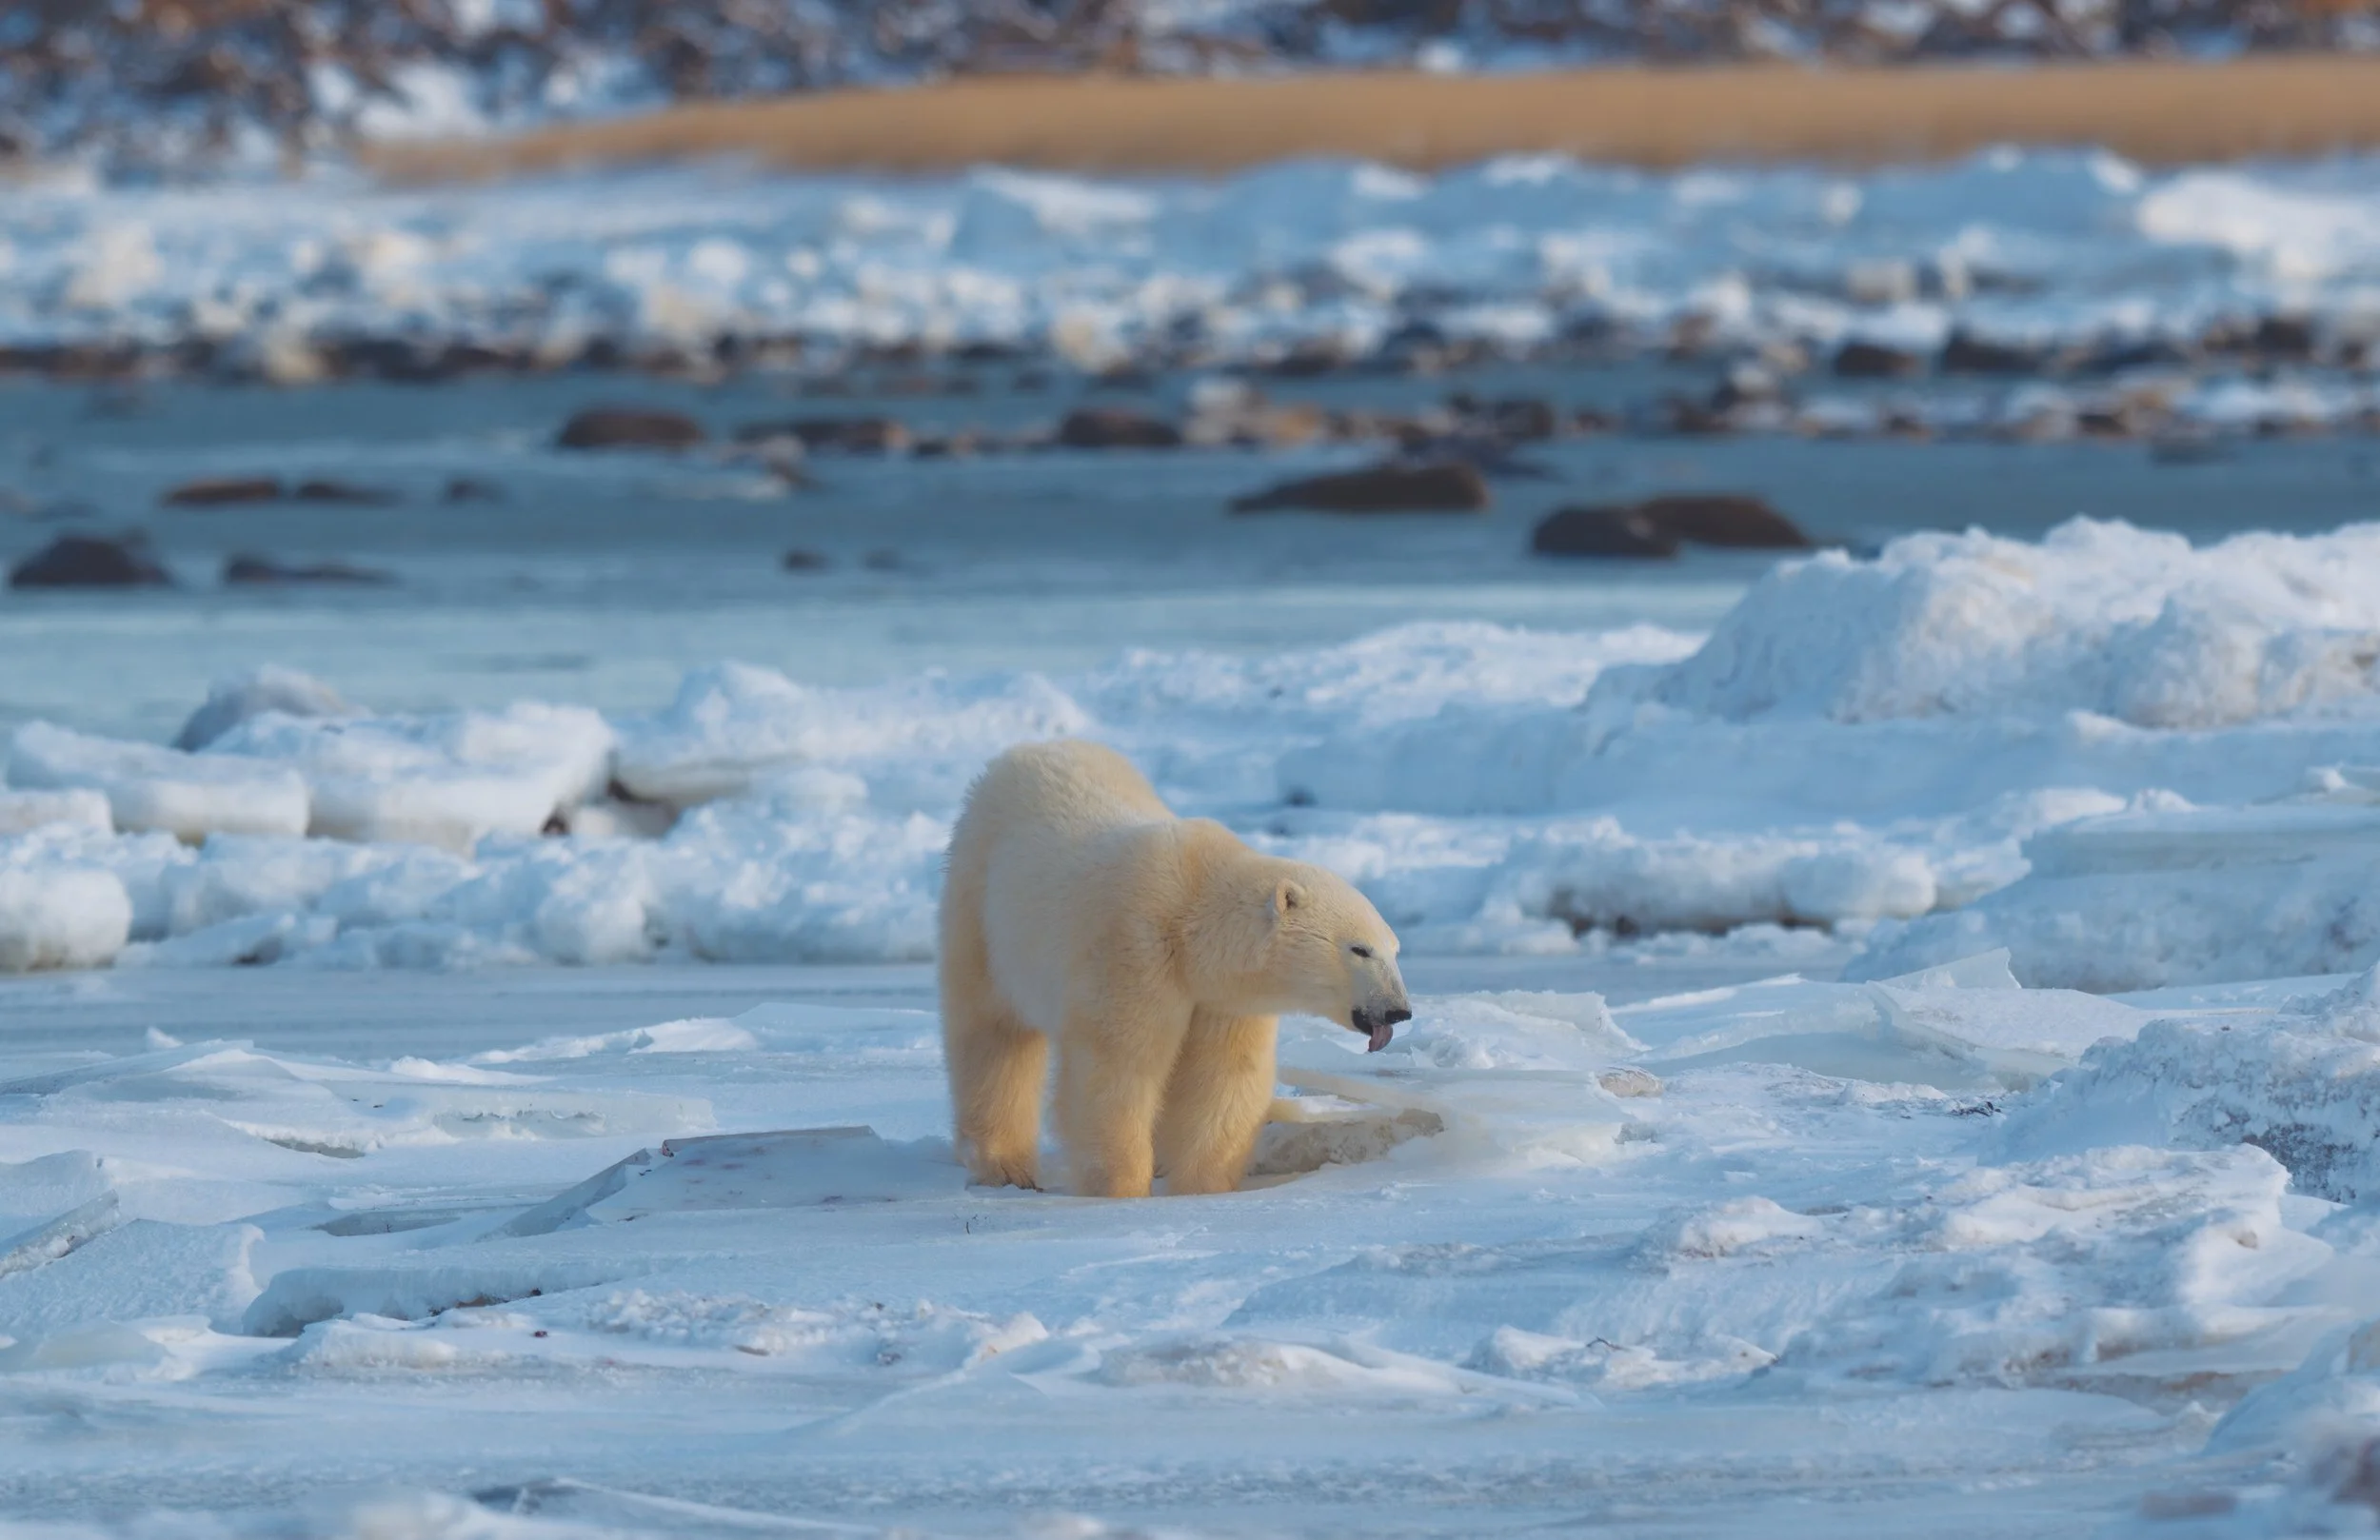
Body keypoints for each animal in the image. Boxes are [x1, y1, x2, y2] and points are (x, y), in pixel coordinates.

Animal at [939, 738, 1411, 1198]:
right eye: (1360, 949)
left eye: (1395, 949)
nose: (1399, 1010)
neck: (1191, 921)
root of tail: (1025, 751)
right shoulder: (1135, 951)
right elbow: (1120, 1068)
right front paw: (1122, 1188)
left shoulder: (1224, 998)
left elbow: (1222, 1078)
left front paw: (1204, 1187)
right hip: (983, 906)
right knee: (992, 1034)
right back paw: (1004, 1164)